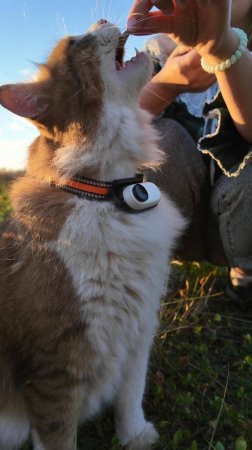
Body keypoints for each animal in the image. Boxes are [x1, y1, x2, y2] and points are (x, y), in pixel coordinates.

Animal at [0, 18, 185, 450]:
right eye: (75, 43)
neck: (107, 193)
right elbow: (58, 436)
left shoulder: (139, 328)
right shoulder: (56, 365)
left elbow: (131, 395)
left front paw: (135, 436)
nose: (102, 20)